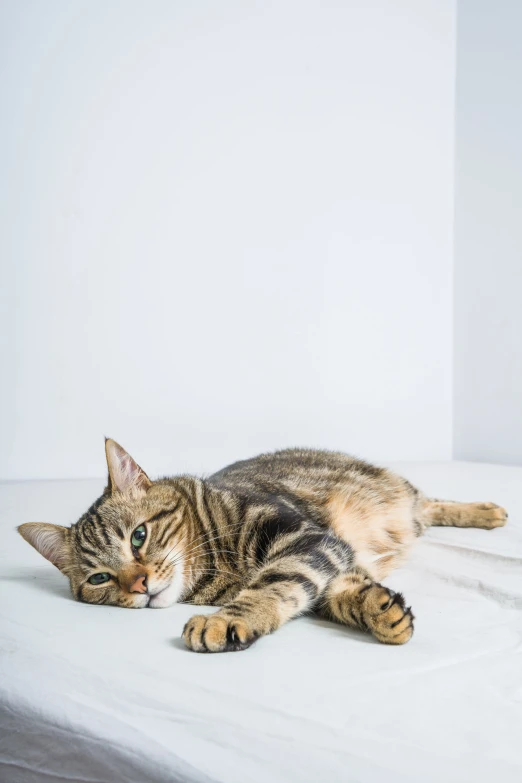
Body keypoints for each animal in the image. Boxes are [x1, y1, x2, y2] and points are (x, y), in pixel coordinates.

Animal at [18, 438, 506, 652]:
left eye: (138, 536)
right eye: (100, 578)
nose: (138, 584)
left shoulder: (304, 537)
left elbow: (274, 582)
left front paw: (226, 620)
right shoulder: (331, 556)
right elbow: (335, 592)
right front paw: (379, 610)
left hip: (401, 493)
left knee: (431, 502)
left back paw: (487, 511)